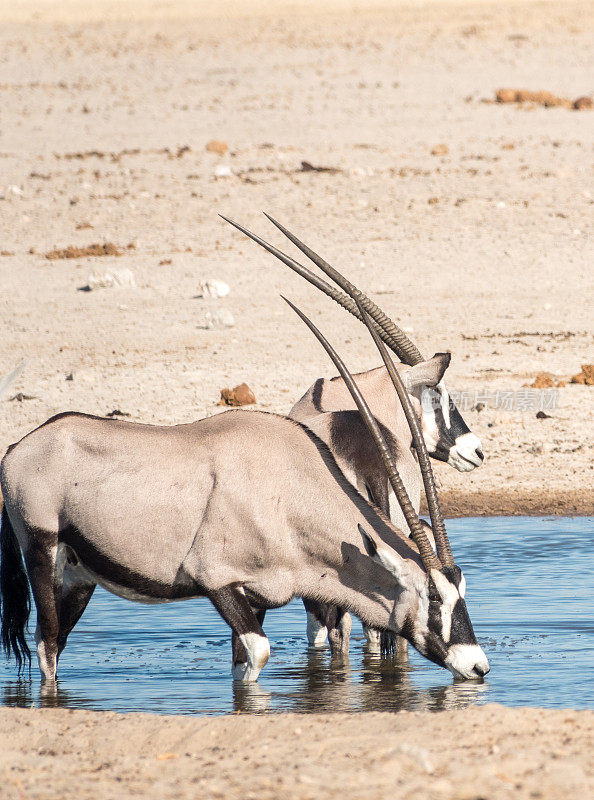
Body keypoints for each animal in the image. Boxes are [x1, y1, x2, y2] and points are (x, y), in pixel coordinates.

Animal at [0, 304, 486, 684]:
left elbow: (242, 667)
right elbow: (261, 652)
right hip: (41, 551)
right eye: (434, 597)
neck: (287, 491)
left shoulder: (256, 596)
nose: (478, 666)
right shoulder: (216, 580)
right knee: (46, 647)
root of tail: (20, 447)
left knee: (56, 644)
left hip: (78, 577)